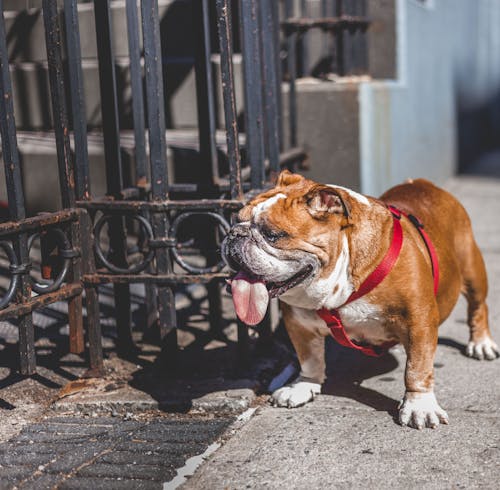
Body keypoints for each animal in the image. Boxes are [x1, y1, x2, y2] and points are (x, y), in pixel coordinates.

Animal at [224, 171, 500, 428]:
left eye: (272, 234)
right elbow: (309, 358)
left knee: (479, 306)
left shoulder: (419, 322)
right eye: (235, 221)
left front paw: (419, 406)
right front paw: (303, 386)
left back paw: (481, 343)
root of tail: (424, 184)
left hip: (471, 268)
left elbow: (417, 368)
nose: (234, 234)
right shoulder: (299, 323)